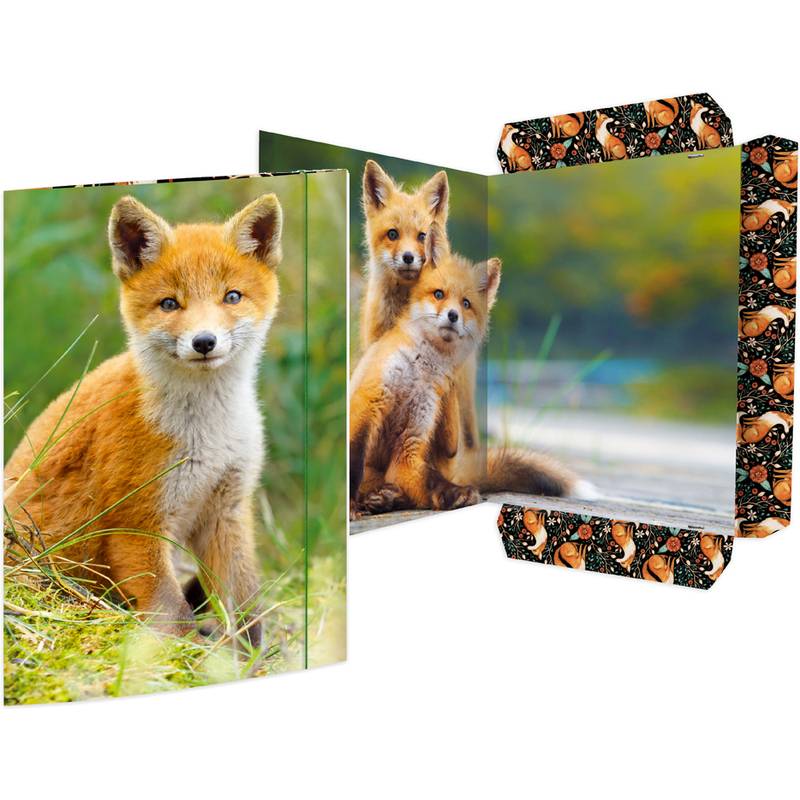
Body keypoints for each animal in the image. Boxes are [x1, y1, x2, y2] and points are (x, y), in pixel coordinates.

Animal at [4, 193, 284, 645]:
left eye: (232, 297)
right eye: (170, 303)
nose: (204, 342)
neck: (208, 433)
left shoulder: (226, 508)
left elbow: (245, 608)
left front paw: (251, 657)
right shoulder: (136, 521)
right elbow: (175, 612)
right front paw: (183, 656)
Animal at [349, 223, 498, 518]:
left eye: (466, 304)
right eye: (438, 294)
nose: (452, 316)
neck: (418, 373)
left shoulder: (411, 441)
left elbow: (431, 481)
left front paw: (457, 494)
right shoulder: (366, 403)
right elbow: (352, 463)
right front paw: (349, 507)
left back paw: (387, 497)